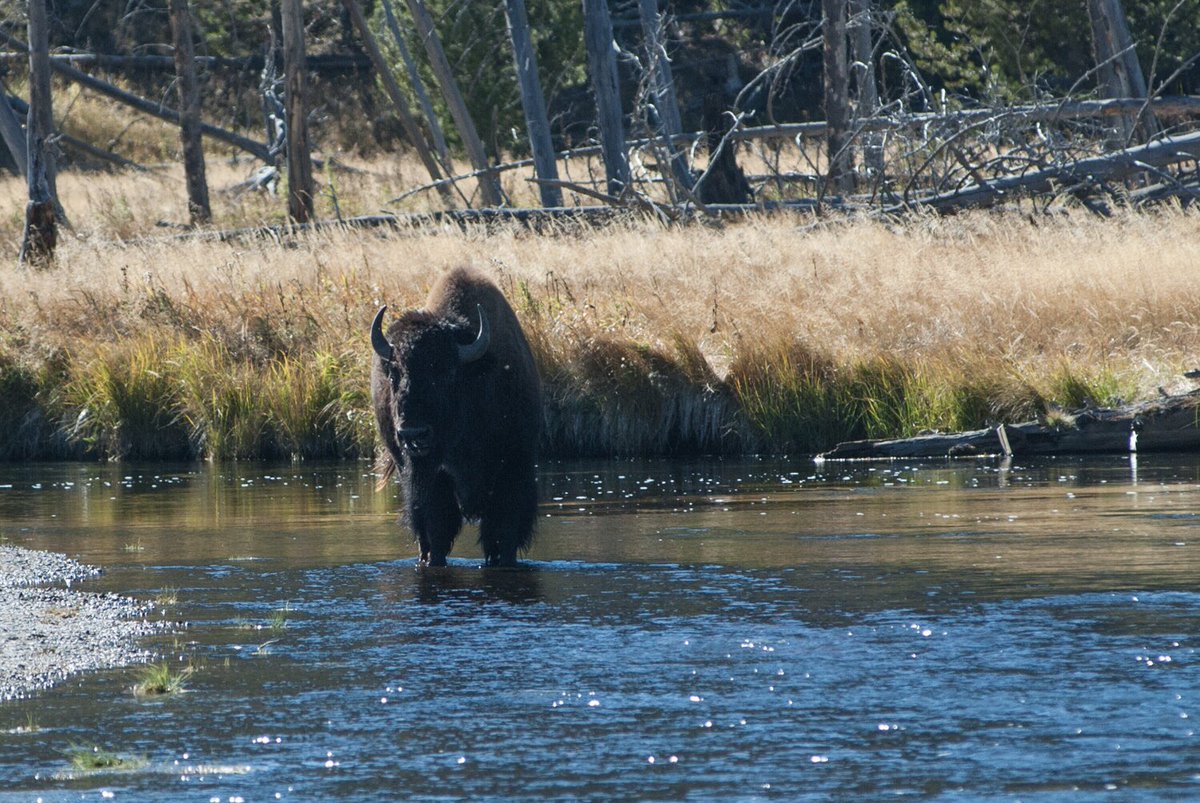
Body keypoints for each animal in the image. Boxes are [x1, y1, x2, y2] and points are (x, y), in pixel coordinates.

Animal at [370, 267, 542, 567]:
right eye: (394, 373)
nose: (413, 434)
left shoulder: (514, 469)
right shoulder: (432, 480)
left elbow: (504, 535)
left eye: (447, 374)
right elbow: (436, 532)